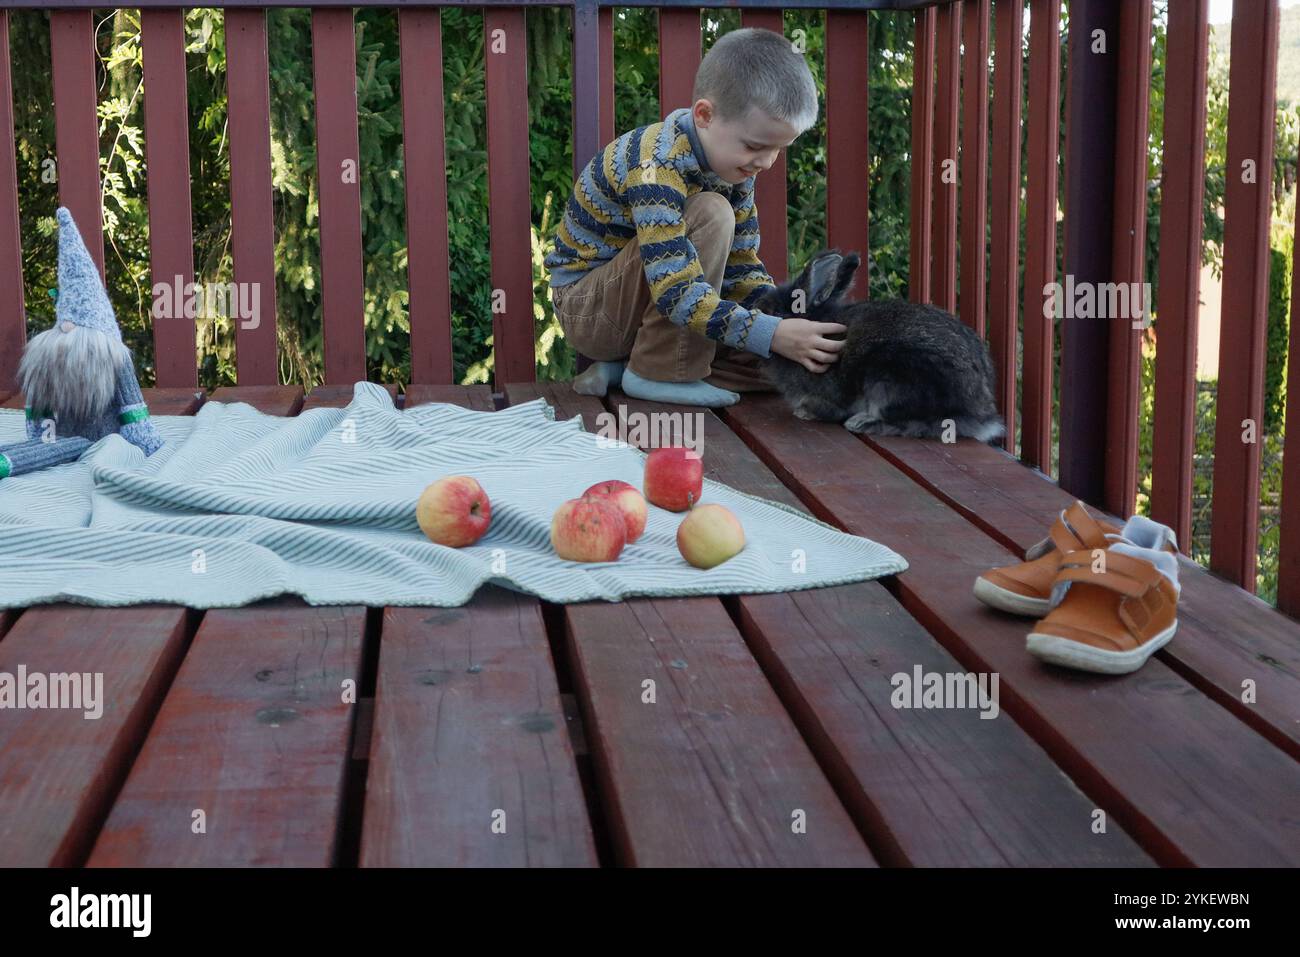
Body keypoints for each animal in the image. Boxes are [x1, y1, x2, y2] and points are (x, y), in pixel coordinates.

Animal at [754, 244, 1003, 442]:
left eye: (775, 311)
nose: (756, 307)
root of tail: (981, 412)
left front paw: (804, 412)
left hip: (888, 378)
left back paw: (861, 422)